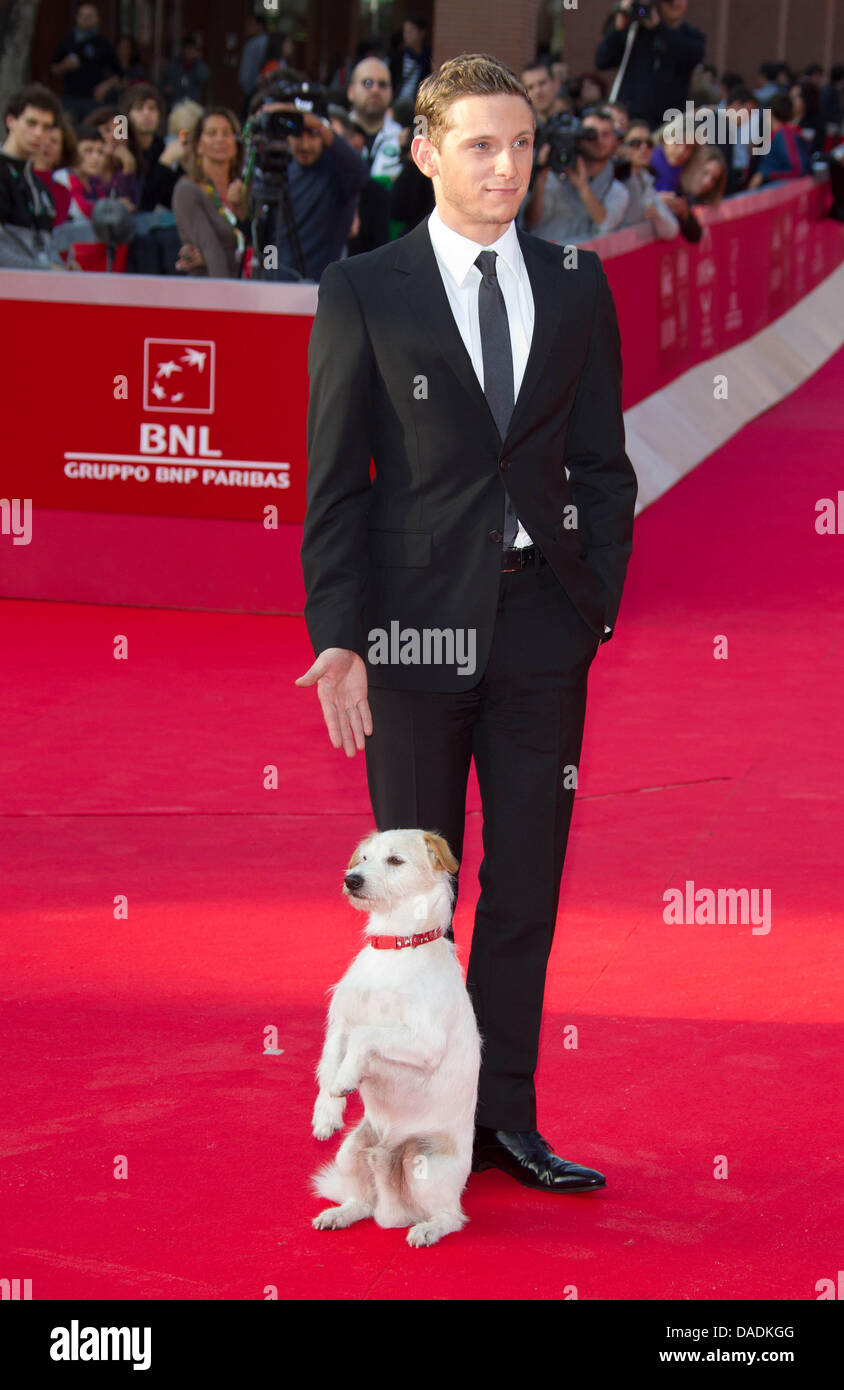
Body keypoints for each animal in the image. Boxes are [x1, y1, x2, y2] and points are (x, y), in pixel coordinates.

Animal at [310, 822, 481, 1251]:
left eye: (395, 860)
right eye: (364, 858)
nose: (351, 879)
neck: (394, 948)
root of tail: (394, 1210)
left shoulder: (424, 1043)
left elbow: (365, 1037)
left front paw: (347, 1078)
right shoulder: (340, 1024)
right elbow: (329, 1061)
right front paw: (326, 1112)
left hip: (427, 1165)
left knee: (452, 1216)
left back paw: (427, 1229)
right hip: (350, 1152)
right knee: (362, 1202)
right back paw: (340, 1213)